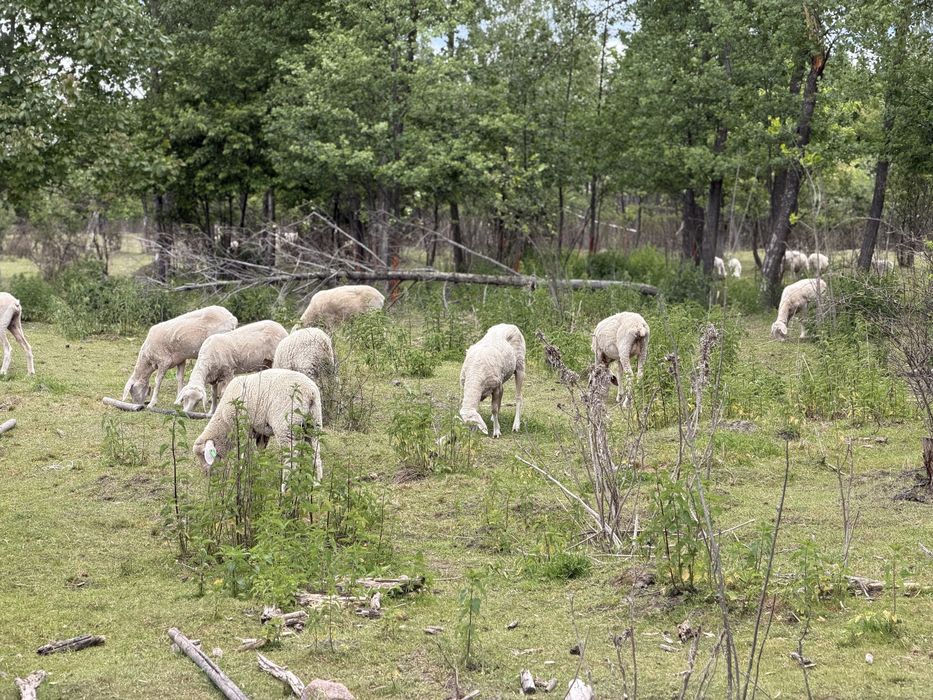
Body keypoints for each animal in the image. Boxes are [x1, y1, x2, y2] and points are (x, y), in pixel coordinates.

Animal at [192, 368, 324, 481]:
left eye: (203, 454)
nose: (206, 475)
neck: (224, 423)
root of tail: (310, 393)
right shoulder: (262, 432)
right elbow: (261, 453)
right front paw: (260, 472)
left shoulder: (242, 427)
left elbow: (242, 453)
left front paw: (240, 473)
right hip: (314, 423)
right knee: (316, 455)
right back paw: (317, 483)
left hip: (286, 426)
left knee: (291, 460)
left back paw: (285, 486)